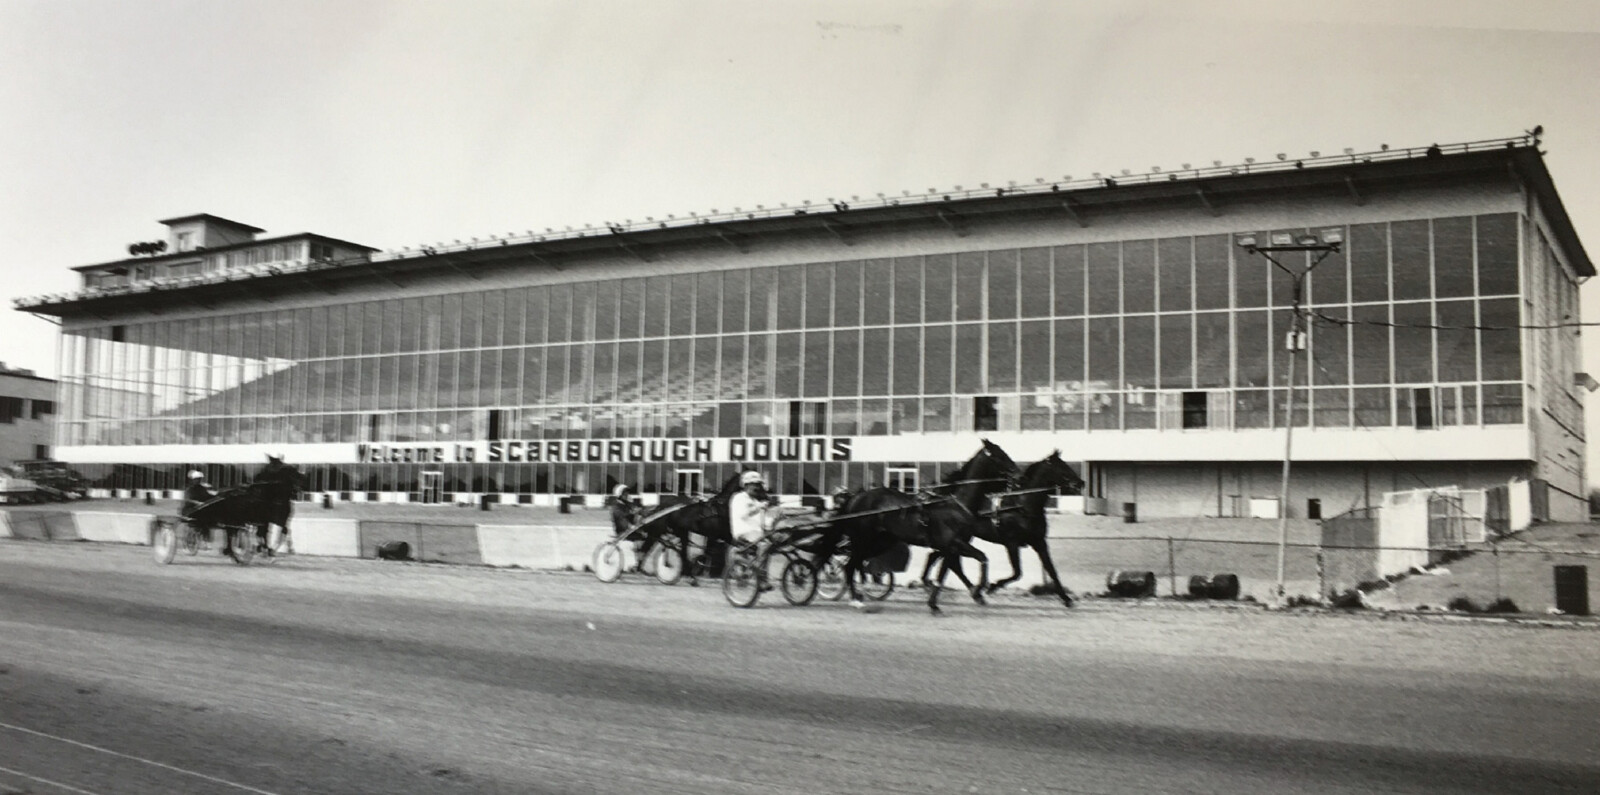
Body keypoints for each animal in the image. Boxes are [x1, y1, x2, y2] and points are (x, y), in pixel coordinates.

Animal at [819, 438, 1017, 611]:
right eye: (999, 455)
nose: (1017, 471)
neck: (955, 505)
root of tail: (857, 497)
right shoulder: (953, 543)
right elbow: (980, 557)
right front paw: (982, 588)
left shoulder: (950, 547)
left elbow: (946, 571)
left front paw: (935, 603)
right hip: (863, 539)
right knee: (850, 565)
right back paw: (855, 599)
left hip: (881, 542)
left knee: (856, 563)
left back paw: (858, 596)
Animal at [928, 447, 1088, 604]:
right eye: (1062, 467)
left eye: (1066, 464)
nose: (1081, 482)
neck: (1023, 506)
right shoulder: (1012, 543)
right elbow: (1017, 572)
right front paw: (993, 586)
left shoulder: (1039, 542)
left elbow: (1051, 570)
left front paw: (1066, 598)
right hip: (959, 538)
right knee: (949, 560)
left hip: (961, 538)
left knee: (942, 558)